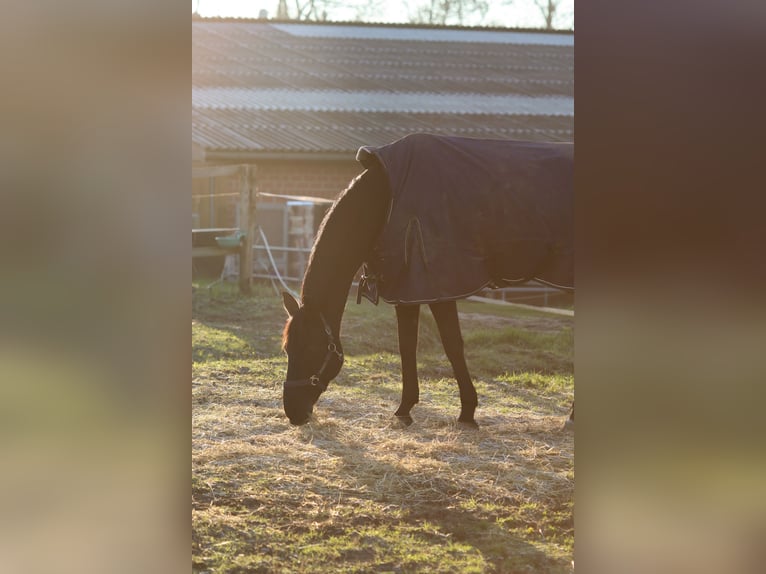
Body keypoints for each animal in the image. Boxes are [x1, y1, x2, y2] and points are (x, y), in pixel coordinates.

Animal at [280, 134, 568, 428]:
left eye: (312, 348)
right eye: (287, 349)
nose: (294, 413)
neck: (386, 197)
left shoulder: (438, 287)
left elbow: (452, 345)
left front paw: (467, 411)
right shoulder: (406, 291)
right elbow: (407, 346)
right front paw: (405, 408)